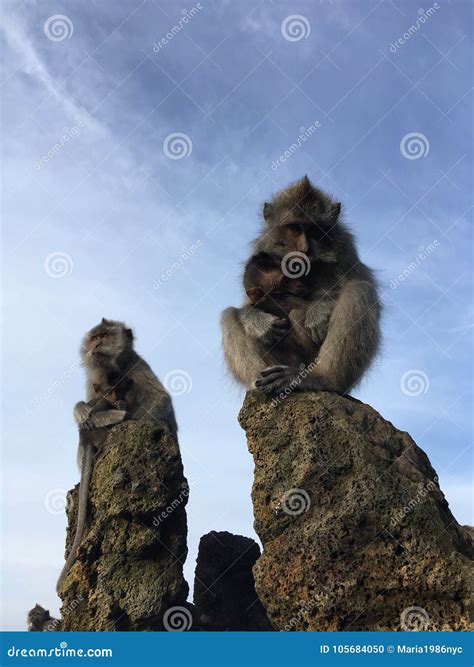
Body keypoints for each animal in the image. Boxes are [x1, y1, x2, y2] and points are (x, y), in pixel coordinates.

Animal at [56, 378, 132, 592]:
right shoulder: (102, 402)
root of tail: (87, 441)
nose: (118, 396)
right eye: (112, 390)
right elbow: (95, 416)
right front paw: (123, 411)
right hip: (100, 433)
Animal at [222, 177, 382, 396]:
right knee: (229, 315)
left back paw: (323, 379)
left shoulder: (344, 245)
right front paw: (259, 322)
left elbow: (359, 282)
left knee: (359, 290)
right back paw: (258, 384)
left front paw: (319, 309)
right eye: (295, 228)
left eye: (314, 230)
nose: (304, 248)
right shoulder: (263, 246)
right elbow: (248, 301)